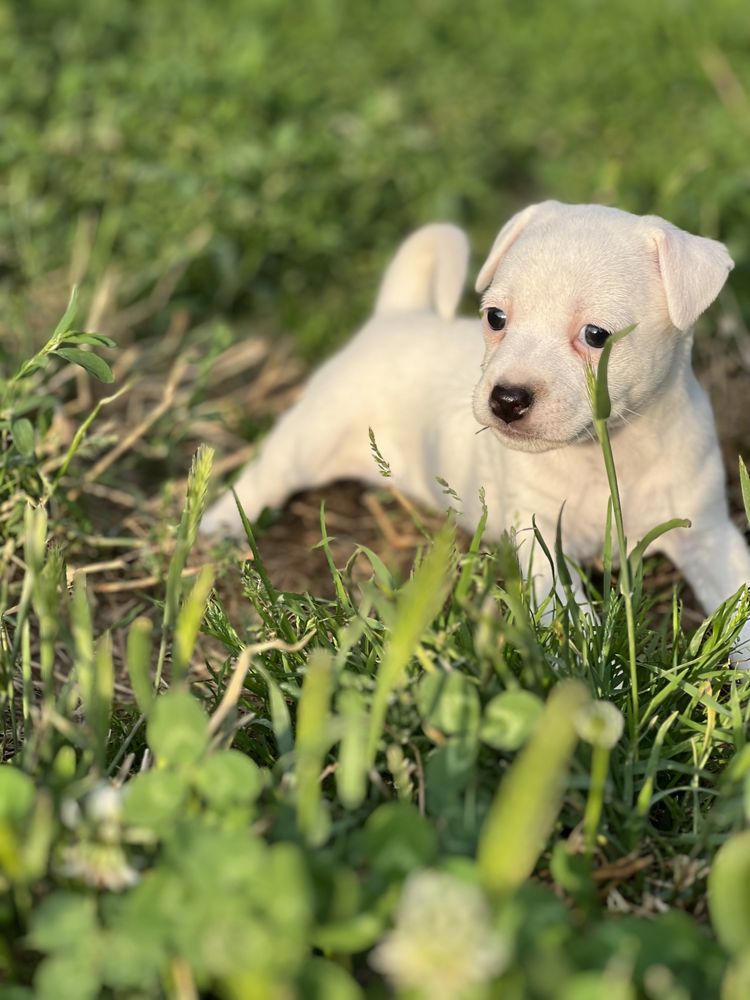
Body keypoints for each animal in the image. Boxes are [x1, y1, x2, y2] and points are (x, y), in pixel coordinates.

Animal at [204, 203, 750, 656]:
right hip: (312, 436)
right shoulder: (542, 542)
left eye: (596, 336)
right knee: (267, 475)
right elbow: (574, 615)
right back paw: (219, 525)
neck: (610, 452)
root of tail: (395, 313)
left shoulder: (709, 536)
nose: (506, 398)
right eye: (495, 317)